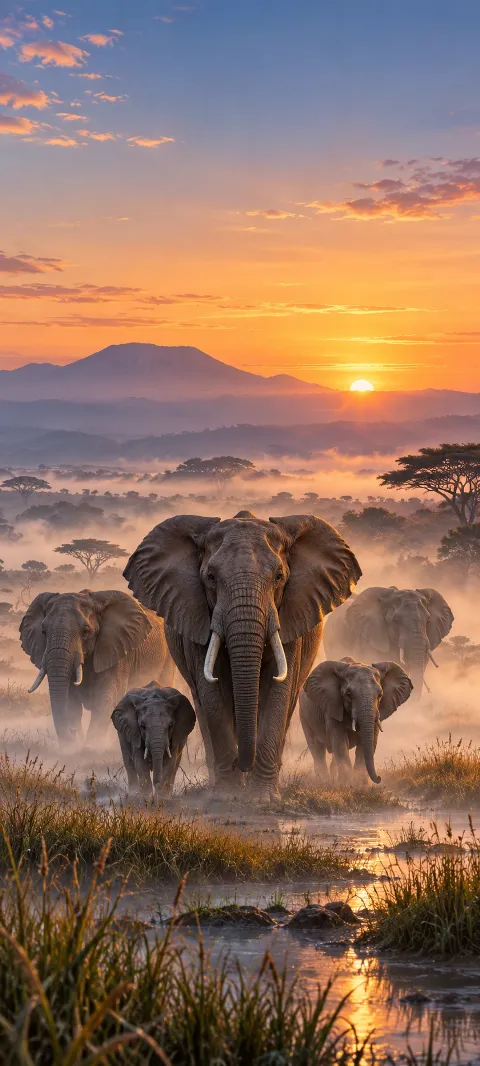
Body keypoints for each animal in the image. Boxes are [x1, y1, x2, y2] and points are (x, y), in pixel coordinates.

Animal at [20, 589, 174, 746]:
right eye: (43, 631)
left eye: (86, 631)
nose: (73, 733)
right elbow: (71, 701)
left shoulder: (118, 651)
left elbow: (106, 698)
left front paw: (91, 746)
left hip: (167, 658)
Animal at [123, 511, 361, 800]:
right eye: (211, 577)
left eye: (279, 577)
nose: (242, 763)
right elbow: (212, 696)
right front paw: (228, 796)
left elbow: (279, 690)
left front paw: (262, 798)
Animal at [300, 656, 412, 784]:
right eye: (348, 694)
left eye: (380, 695)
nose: (379, 778)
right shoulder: (332, 706)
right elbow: (339, 740)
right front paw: (346, 785)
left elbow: (369, 741)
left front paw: (360, 784)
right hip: (304, 714)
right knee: (317, 748)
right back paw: (323, 781)